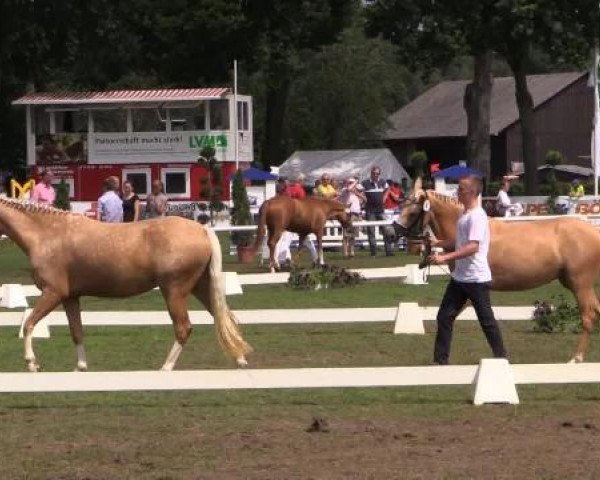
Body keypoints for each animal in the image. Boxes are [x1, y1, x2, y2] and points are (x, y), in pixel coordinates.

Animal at [0, 198, 251, 372]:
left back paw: (166, 368)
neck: (47, 233)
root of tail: (202, 229)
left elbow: (29, 324)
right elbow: (77, 332)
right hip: (201, 287)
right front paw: (80, 367)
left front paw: (32, 363)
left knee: (184, 327)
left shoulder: (53, 293)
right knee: (224, 316)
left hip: (174, 291)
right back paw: (240, 359)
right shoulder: (70, 297)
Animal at [396, 180, 600, 364]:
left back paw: (576, 358)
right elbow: (447, 316)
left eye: (413, 210)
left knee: (588, 316)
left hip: (580, 284)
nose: (394, 230)